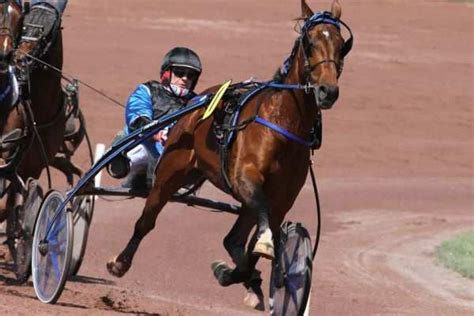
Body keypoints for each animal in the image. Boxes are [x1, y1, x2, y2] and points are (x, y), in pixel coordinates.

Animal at [107, 0, 352, 308]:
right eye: (309, 42)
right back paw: (120, 262)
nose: (327, 91)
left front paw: (240, 274)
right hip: (169, 174)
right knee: (146, 222)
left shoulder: (283, 198)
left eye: (342, 45)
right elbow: (260, 227)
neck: (283, 124)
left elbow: (252, 248)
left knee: (232, 239)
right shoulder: (244, 177)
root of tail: (193, 108)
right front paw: (259, 253)